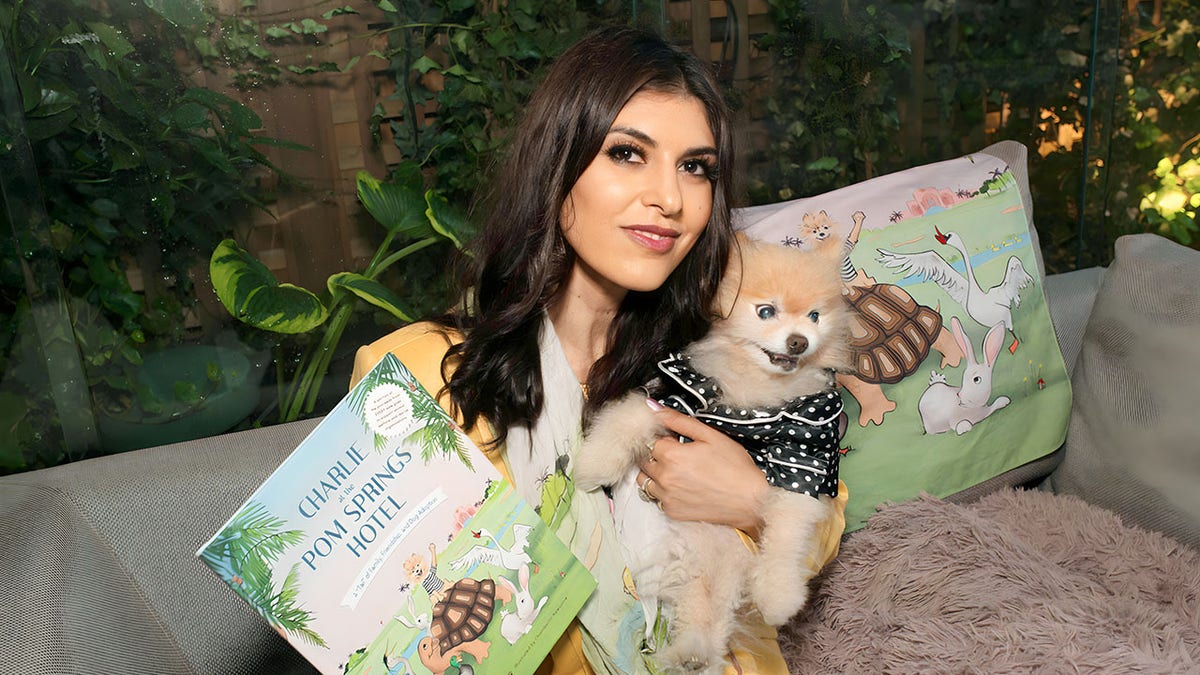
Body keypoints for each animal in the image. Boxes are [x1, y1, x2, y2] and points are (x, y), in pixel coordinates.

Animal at [573, 233, 849, 667]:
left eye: (815, 317)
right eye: (766, 311)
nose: (799, 341)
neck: (753, 390)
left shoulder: (803, 459)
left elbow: (787, 534)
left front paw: (778, 595)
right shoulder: (680, 399)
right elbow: (629, 416)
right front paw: (594, 465)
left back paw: (696, 654)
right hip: (698, 561)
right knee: (701, 608)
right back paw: (691, 652)